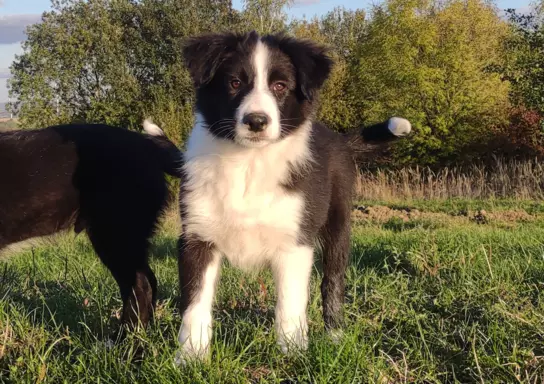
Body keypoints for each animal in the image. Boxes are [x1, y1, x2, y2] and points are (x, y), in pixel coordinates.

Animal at [176, 31, 410, 362]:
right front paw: (190, 358)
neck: (248, 162)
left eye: (280, 86)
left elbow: (289, 302)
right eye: (234, 82)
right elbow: (195, 304)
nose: (256, 121)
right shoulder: (197, 236)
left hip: (338, 224)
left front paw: (292, 355)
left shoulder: (295, 241)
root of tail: (339, 138)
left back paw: (335, 337)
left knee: (332, 283)